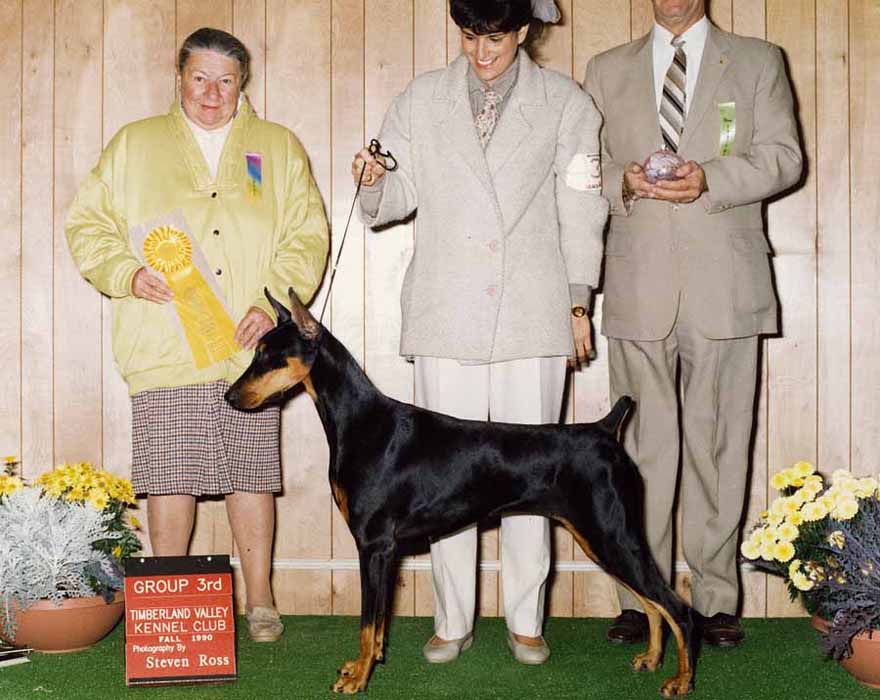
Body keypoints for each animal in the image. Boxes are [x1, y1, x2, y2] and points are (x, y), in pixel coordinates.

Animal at [223, 288, 696, 696]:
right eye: (257, 352)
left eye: (268, 357)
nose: (229, 396)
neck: (360, 421)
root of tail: (605, 430)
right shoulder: (381, 551)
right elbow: (378, 623)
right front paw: (369, 663)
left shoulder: (373, 545)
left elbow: (367, 621)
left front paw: (358, 678)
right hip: (603, 537)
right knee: (653, 603)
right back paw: (651, 660)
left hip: (610, 533)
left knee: (677, 607)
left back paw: (681, 681)